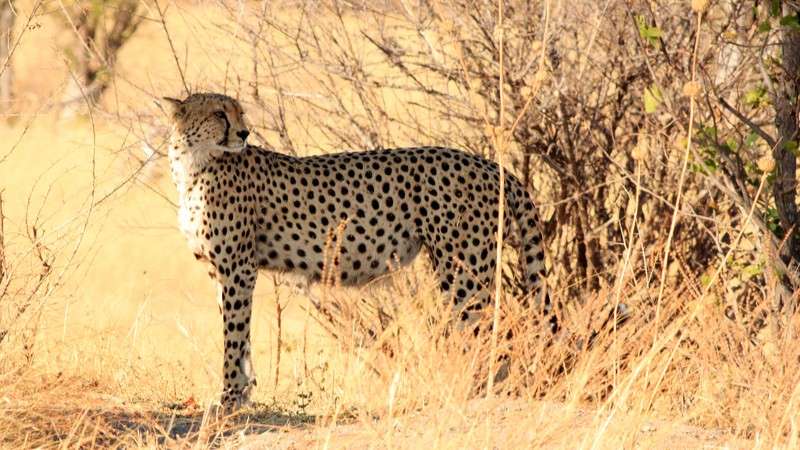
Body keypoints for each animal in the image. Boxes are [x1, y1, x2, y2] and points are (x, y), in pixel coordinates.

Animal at [162, 92, 556, 410]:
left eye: (238, 112)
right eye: (219, 113)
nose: (244, 134)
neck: (193, 165)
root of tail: (489, 164)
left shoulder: (239, 268)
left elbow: (233, 335)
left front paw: (229, 396)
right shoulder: (222, 271)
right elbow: (240, 336)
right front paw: (243, 392)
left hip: (463, 272)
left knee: (495, 328)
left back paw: (477, 391)